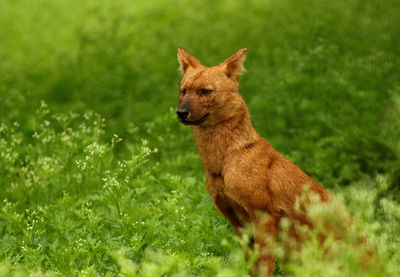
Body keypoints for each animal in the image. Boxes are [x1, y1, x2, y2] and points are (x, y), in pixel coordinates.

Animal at [175, 48, 332, 274]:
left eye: (205, 91)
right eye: (183, 91)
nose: (181, 113)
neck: (221, 164)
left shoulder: (263, 215)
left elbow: (265, 264)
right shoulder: (237, 220)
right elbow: (251, 265)